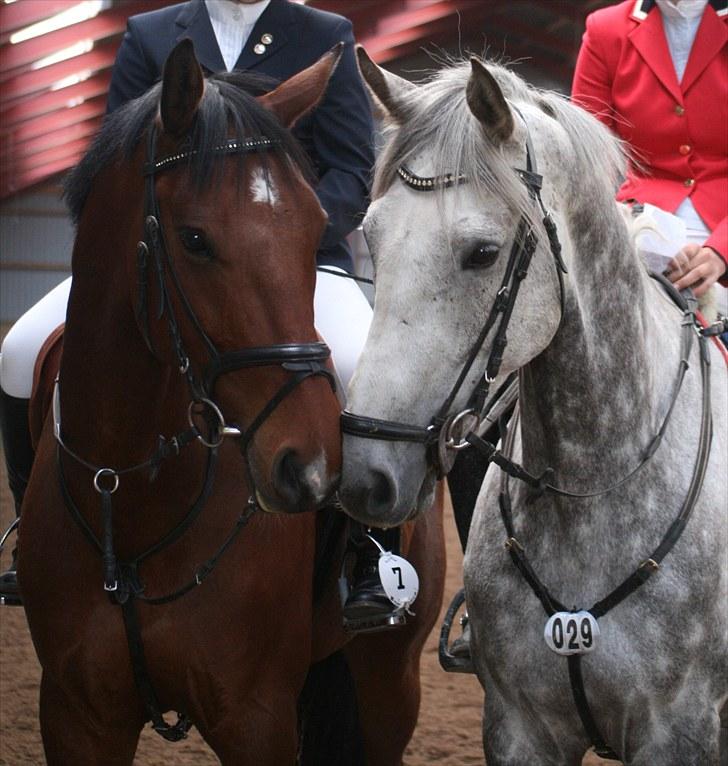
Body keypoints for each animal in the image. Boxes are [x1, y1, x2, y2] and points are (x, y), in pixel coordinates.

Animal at [18, 42, 444, 766]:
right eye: (194, 239)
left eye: (315, 228)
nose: (311, 468)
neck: (133, 500)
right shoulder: (75, 712)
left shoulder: (255, 716)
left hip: (391, 678)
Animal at [342, 49, 728, 766]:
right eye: (371, 238)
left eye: (483, 253)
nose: (366, 474)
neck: (593, 487)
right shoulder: (519, 725)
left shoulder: (679, 731)